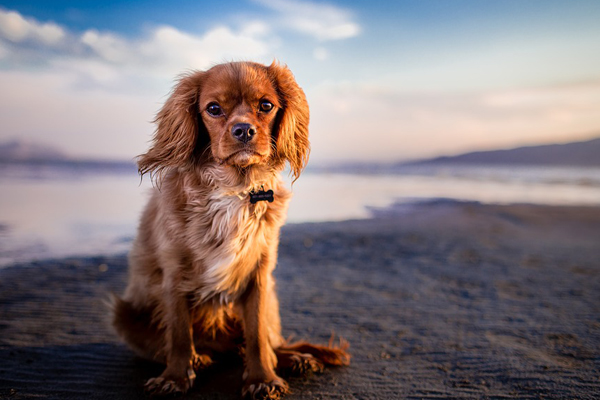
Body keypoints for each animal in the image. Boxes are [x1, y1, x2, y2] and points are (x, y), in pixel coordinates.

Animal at [111, 61, 352, 398]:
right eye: (213, 108)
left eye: (266, 106)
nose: (244, 130)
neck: (234, 189)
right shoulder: (174, 275)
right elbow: (179, 334)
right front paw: (175, 377)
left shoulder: (260, 274)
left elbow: (257, 336)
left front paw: (262, 378)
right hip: (125, 315)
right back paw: (200, 358)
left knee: (266, 343)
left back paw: (295, 359)